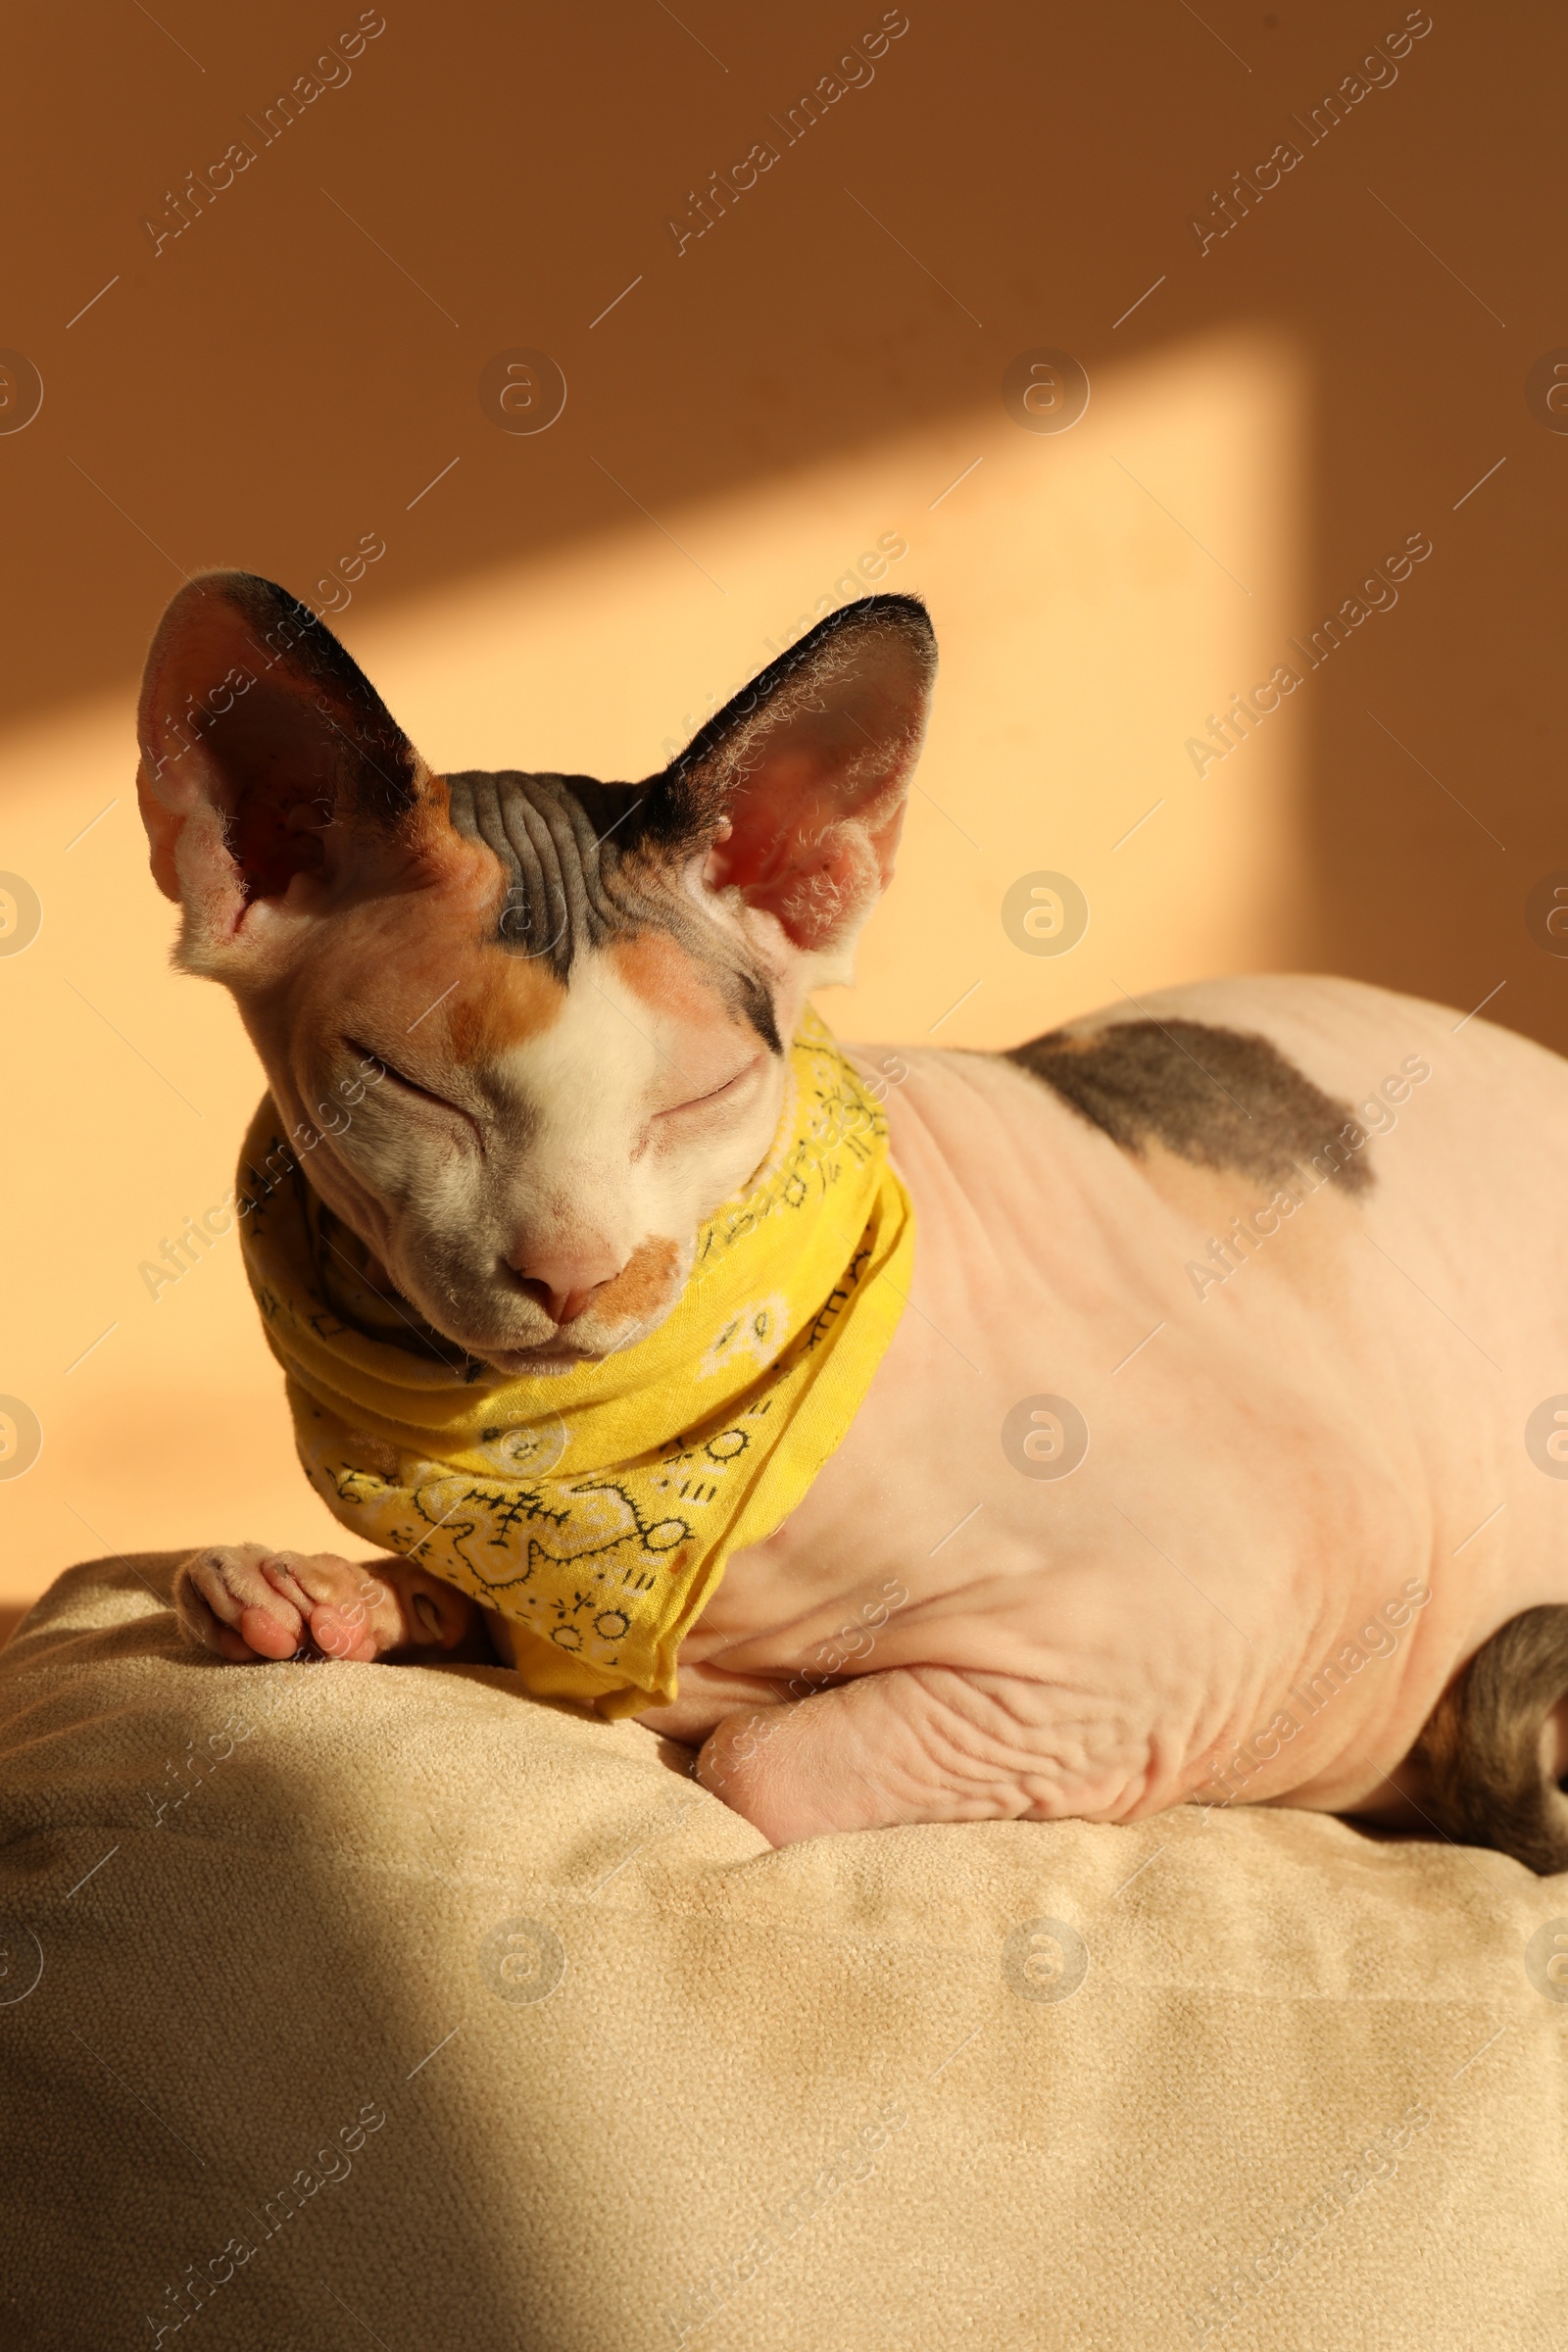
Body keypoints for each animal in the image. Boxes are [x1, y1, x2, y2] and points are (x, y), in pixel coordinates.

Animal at [134, 568, 1568, 1853]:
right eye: (407, 1085)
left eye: (705, 1093)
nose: (580, 1274)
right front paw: (316, 1596)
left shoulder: (1239, 1607)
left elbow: (750, 1760)